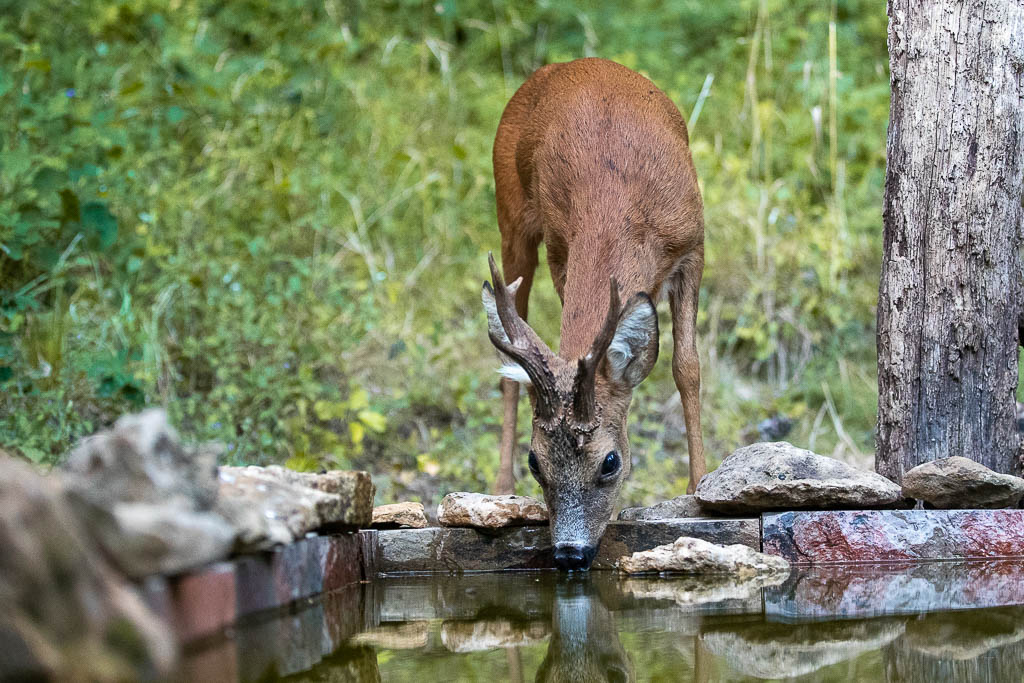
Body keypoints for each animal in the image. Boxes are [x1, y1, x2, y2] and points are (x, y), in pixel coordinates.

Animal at [481, 58, 704, 573]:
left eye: (610, 462)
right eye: (535, 462)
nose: (569, 554)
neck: (616, 198)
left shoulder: (694, 243)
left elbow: (687, 367)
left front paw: (698, 487)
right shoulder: (562, 251)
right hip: (511, 213)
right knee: (509, 365)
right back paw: (499, 490)